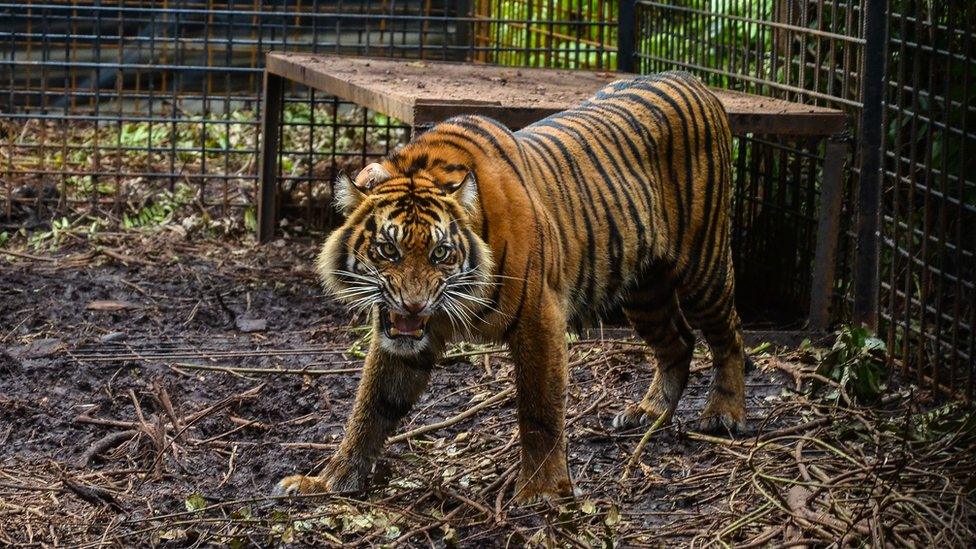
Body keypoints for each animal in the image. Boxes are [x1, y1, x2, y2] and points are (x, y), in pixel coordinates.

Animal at [274, 69, 748, 500]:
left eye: (440, 253)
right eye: (387, 250)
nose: (413, 305)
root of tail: (691, 78)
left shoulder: (540, 316)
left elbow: (539, 409)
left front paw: (541, 490)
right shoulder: (399, 337)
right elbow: (371, 407)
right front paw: (328, 480)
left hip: (703, 265)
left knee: (729, 336)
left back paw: (723, 413)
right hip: (643, 289)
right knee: (678, 342)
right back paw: (647, 412)